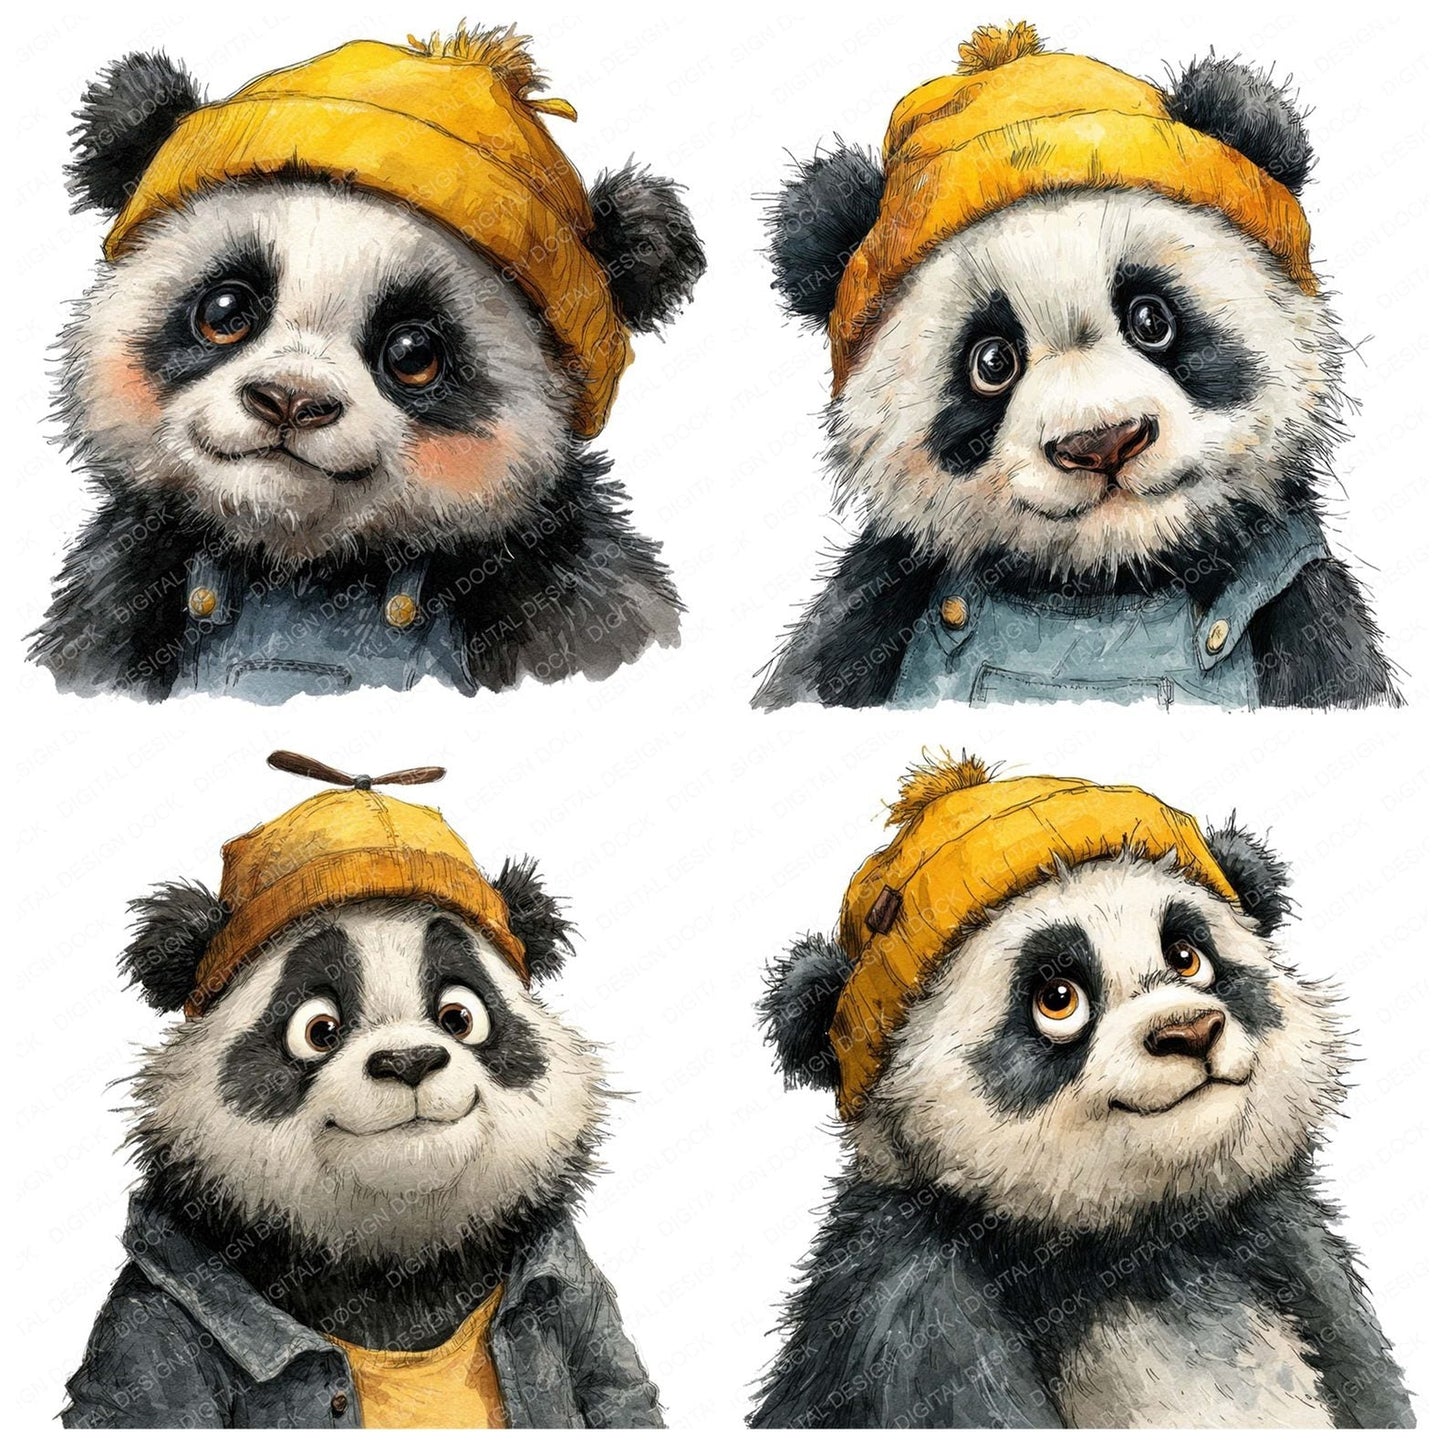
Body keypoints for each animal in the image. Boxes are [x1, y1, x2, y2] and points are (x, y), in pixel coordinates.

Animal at [32, 27, 705, 703]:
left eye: (413, 354)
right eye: (225, 310)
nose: (290, 401)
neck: (304, 574)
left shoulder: (566, 595)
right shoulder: (117, 599)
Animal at [63, 762, 661, 1428]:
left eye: (459, 1016)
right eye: (318, 1029)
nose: (409, 1061)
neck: (391, 1261)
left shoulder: (572, 1281)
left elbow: (617, 1387)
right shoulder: (149, 1327)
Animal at [751, 755, 1414, 1428]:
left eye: (1187, 956)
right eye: (1058, 998)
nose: (1190, 1031)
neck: (1142, 1249)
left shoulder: (1301, 1264)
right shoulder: (910, 1321)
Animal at [754, 25, 1399, 709]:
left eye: (1151, 319)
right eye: (992, 362)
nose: (1102, 443)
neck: (1104, 588)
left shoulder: (1297, 591)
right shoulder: (879, 595)